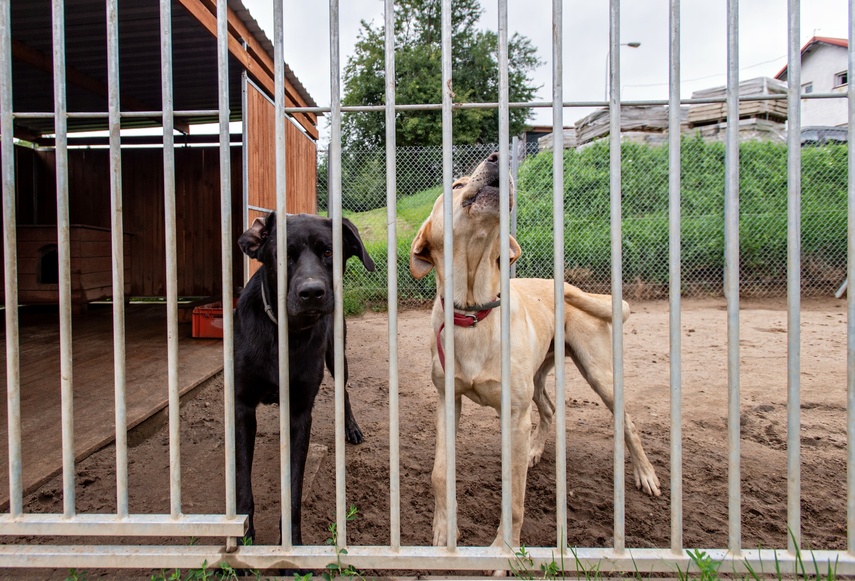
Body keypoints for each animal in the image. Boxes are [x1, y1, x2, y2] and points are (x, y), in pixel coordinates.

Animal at [234, 213, 374, 544]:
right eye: (283, 255)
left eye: (328, 252)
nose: (312, 293)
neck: (283, 336)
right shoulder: (242, 406)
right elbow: (243, 481)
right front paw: (245, 536)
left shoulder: (301, 412)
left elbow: (294, 489)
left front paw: (292, 542)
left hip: (338, 354)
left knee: (344, 391)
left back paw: (351, 428)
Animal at [408, 151, 664, 548]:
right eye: (455, 184)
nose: (496, 156)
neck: (474, 309)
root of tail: (566, 285)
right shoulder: (448, 401)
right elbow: (439, 473)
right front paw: (443, 530)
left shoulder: (514, 414)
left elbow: (514, 495)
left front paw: (504, 548)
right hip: (539, 376)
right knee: (549, 408)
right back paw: (535, 449)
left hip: (599, 373)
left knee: (628, 424)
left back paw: (646, 474)